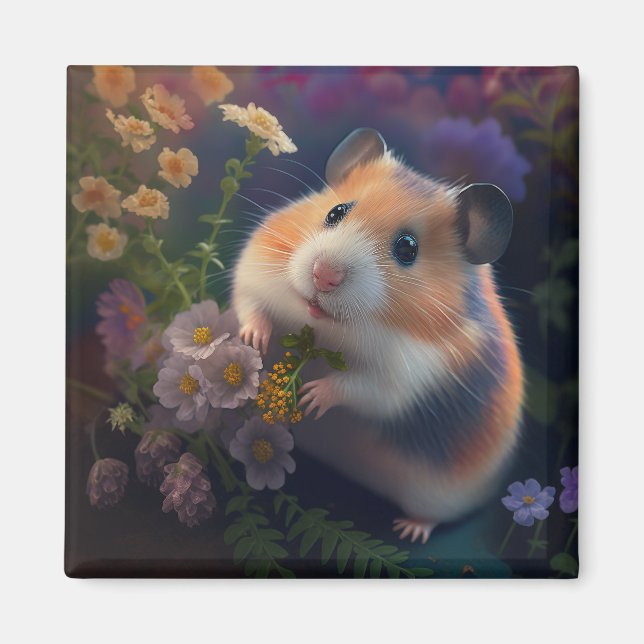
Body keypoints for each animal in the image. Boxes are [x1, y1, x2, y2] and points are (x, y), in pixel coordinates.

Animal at [233, 128, 523, 543]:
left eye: (407, 248)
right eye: (335, 212)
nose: (324, 276)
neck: (327, 326)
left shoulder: (407, 375)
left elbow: (360, 387)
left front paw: (311, 397)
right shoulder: (256, 270)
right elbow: (250, 304)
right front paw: (253, 341)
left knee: (433, 516)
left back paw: (409, 531)